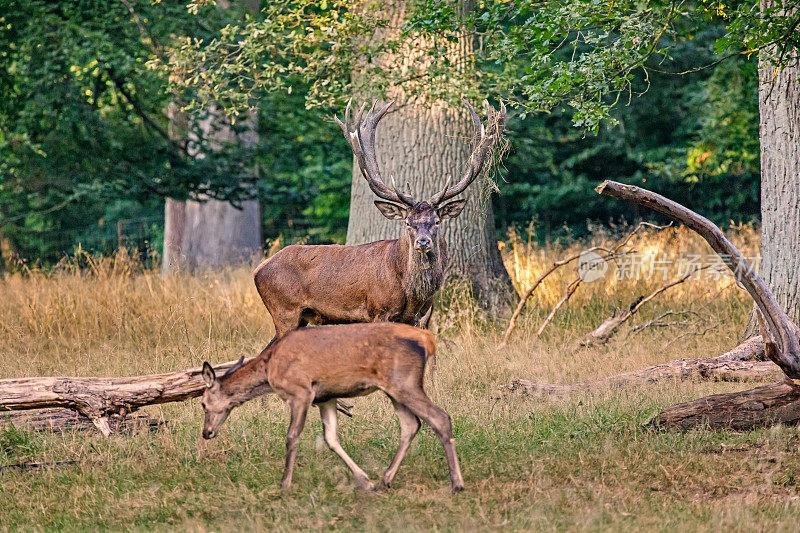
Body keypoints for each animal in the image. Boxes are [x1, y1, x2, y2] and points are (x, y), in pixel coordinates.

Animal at [197, 320, 466, 490]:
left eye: (202, 404)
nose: (206, 432)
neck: (269, 368)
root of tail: (428, 339)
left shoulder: (301, 392)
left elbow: (292, 436)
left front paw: (284, 484)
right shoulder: (325, 399)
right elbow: (331, 438)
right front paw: (365, 481)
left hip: (404, 382)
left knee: (441, 418)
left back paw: (457, 484)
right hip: (394, 389)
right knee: (411, 424)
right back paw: (385, 479)